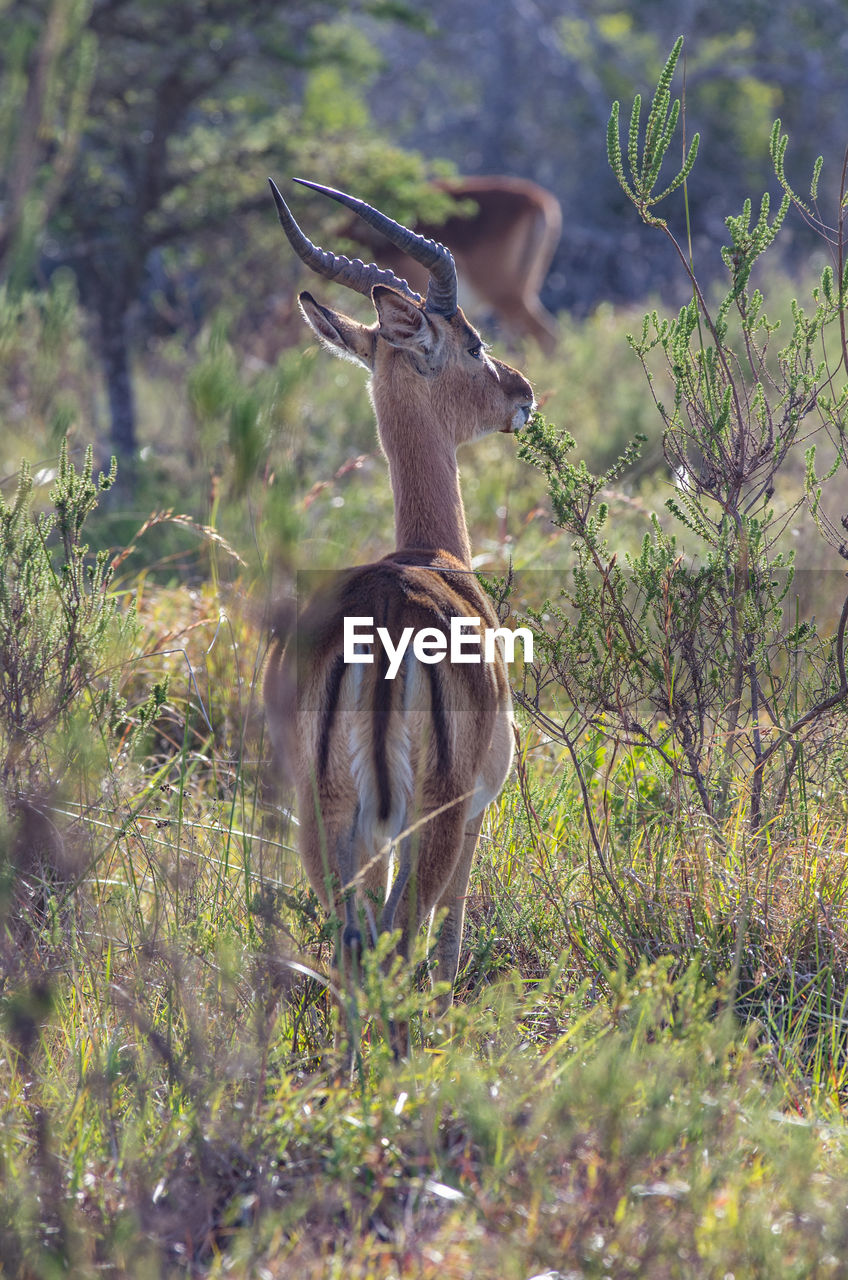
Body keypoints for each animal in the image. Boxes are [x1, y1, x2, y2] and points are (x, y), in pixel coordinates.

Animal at [262, 177, 535, 1018]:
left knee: (353, 948)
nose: (523, 393)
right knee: (403, 939)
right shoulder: (474, 813)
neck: (429, 552)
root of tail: (384, 619)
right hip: (428, 817)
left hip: (328, 819)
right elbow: (451, 937)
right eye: (472, 342)